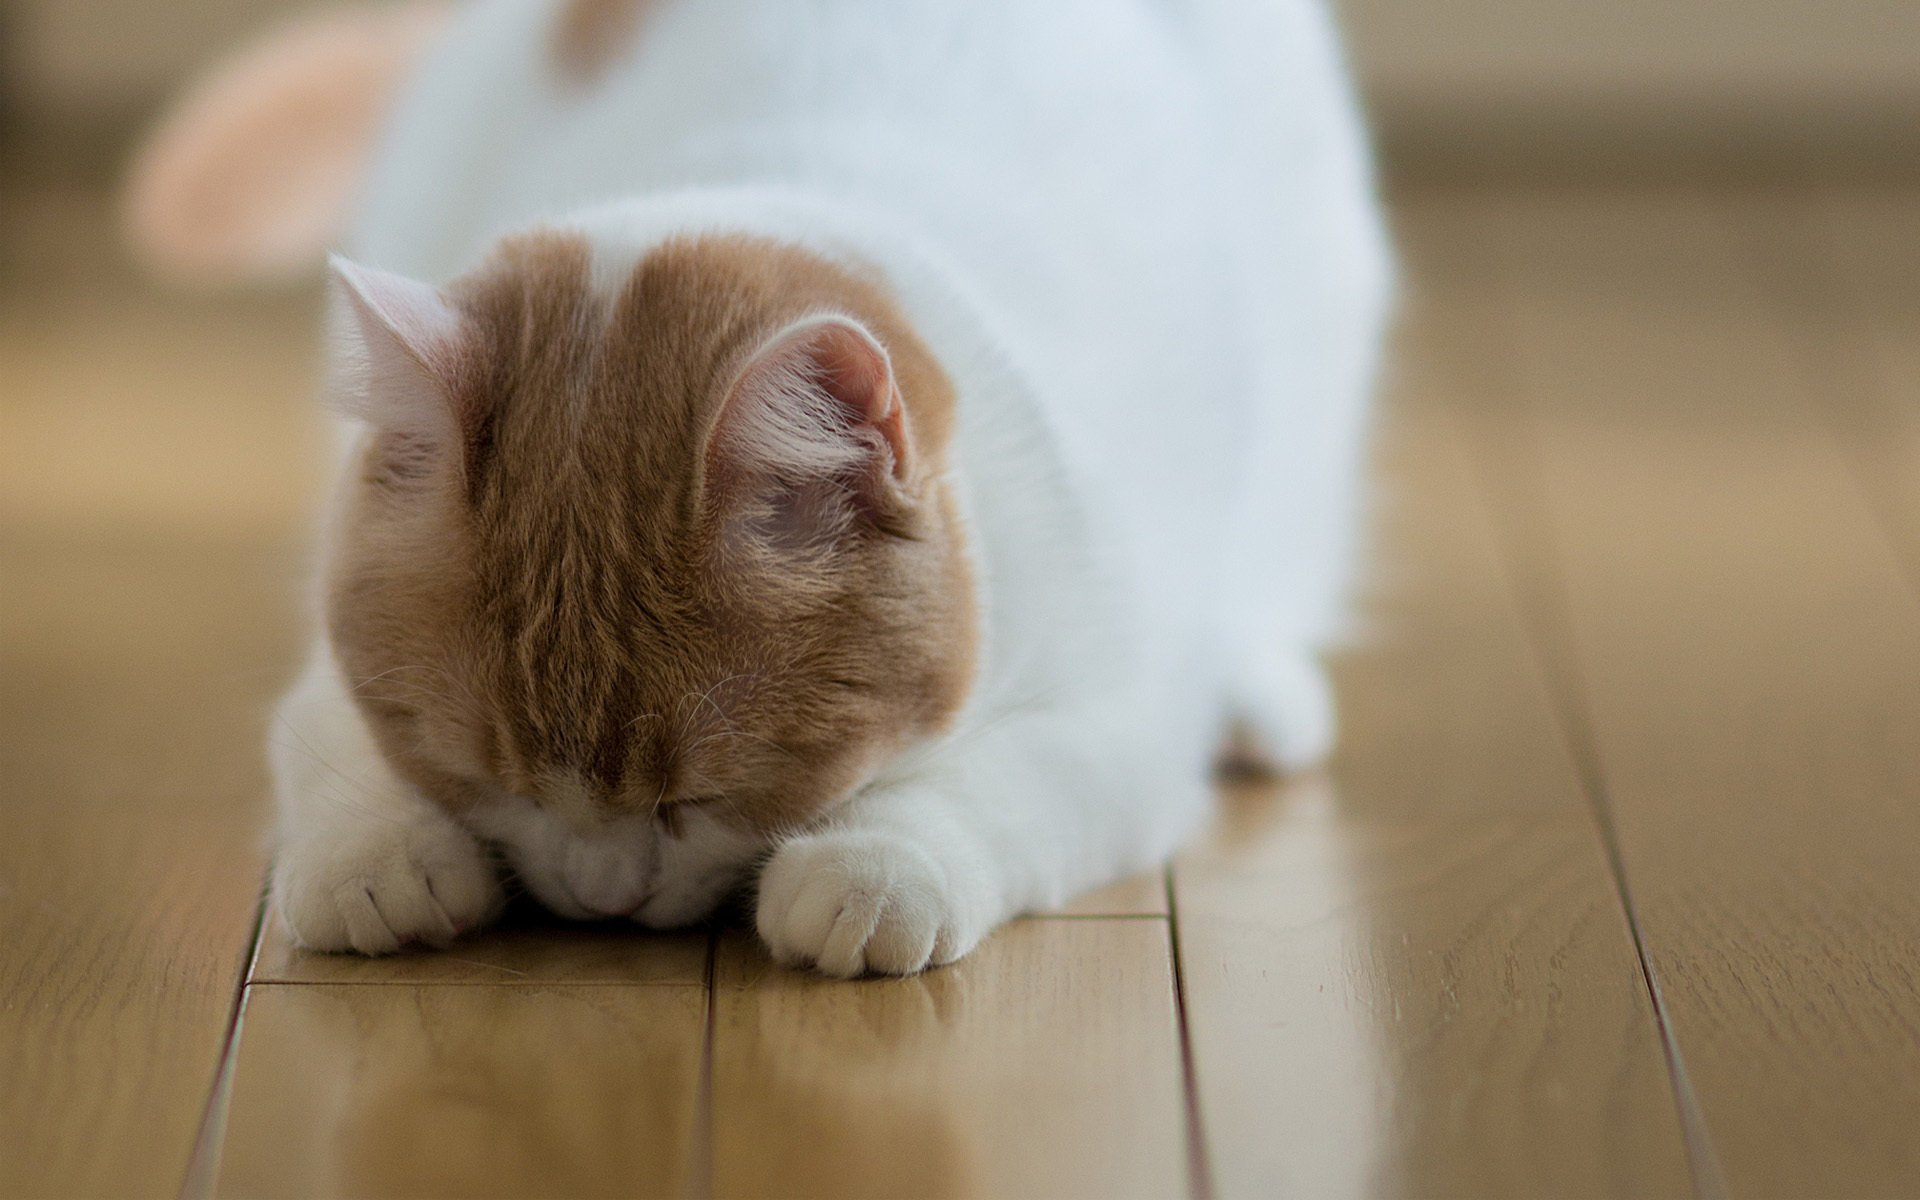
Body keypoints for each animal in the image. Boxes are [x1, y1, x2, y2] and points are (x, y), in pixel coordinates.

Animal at [139, 0, 1397, 975]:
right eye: (491, 774)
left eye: (700, 795)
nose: (598, 897)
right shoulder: (329, 663)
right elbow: (328, 742)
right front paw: (379, 856)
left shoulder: (1128, 722)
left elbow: (1002, 785)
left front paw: (873, 868)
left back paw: (1259, 691)